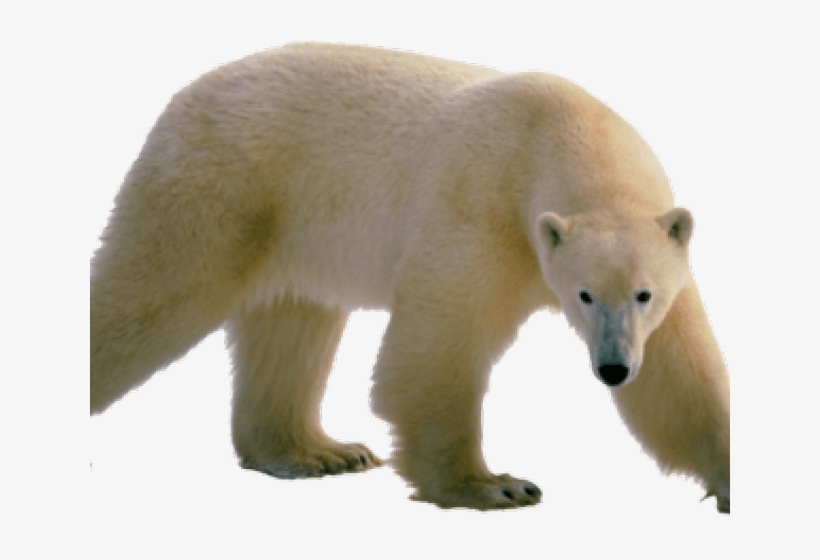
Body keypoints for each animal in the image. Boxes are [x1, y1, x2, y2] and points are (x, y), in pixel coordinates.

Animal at [91, 43, 730, 513]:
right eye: (584, 295)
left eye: (644, 294)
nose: (613, 367)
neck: (559, 128)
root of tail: (185, 94)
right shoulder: (481, 204)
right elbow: (439, 344)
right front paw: (492, 485)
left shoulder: (661, 254)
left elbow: (679, 374)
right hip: (220, 189)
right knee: (152, 292)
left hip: (293, 230)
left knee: (293, 329)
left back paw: (317, 452)